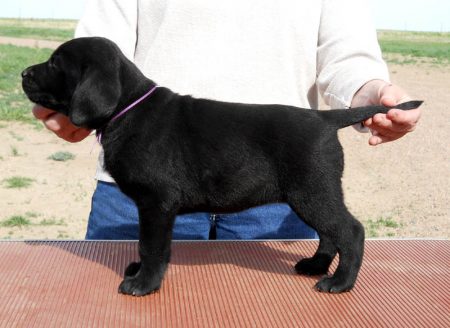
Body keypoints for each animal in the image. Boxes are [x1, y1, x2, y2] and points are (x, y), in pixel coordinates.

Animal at [21, 37, 422, 296]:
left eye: (55, 63)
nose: (24, 72)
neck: (127, 108)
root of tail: (324, 118)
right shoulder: (155, 208)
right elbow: (149, 246)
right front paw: (139, 271)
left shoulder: (156, 203)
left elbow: (151, 246)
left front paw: (143, 284)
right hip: (313, 192)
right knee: (329, 233)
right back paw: (315, 265)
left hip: (312, 190)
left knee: (349, 231)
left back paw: (339, 282)